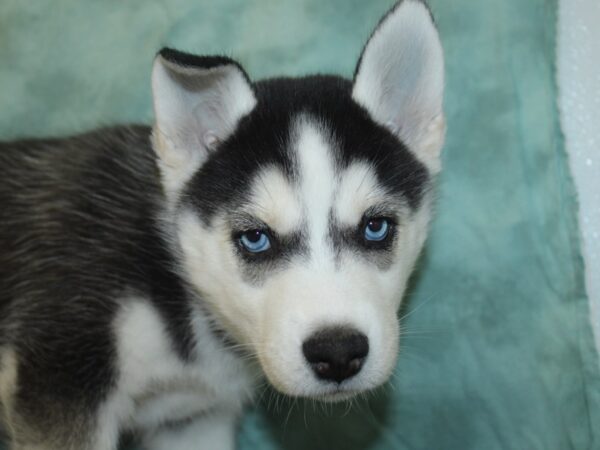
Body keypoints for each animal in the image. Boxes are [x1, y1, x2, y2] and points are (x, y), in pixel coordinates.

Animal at [0, 0, 446, 450]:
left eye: (376, 227)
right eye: (255, 237)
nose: (337, 353)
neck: (179, 285)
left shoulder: (192, 420)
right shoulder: (62, 381)